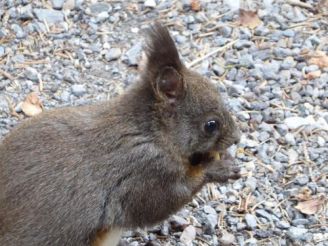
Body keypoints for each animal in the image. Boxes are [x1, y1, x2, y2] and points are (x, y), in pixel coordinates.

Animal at [0, 23, 241, 246]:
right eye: (211, 125)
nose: (237, 138)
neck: (151, 133)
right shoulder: (144, 170)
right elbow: (166, 200)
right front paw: (218, 168)